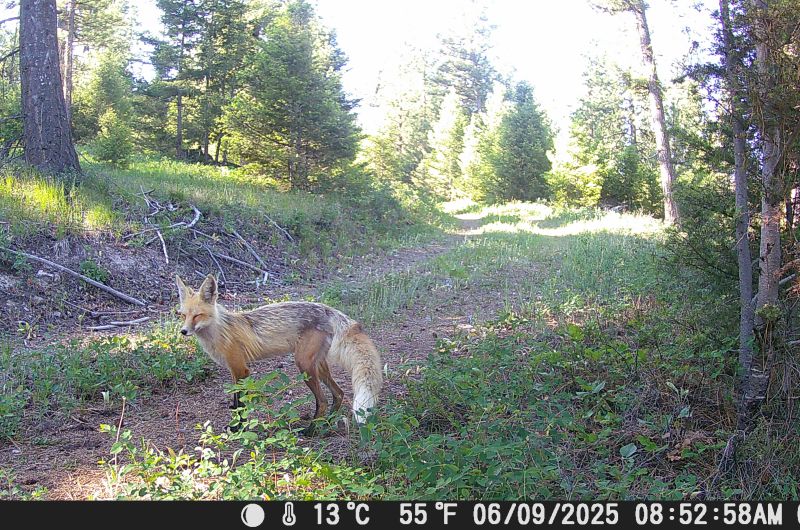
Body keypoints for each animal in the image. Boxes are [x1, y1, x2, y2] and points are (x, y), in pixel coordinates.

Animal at [175, 273, 382, 427]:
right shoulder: (234, 371)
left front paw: (238, 429)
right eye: (183, 316)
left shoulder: (241, 369)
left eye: (197, 316)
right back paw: (326, 423)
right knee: (338, 393)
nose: (183, 331)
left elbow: (240, 405)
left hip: (304, 365)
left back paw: (310, 431)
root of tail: (325, 308)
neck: (221, 331)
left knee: (322, 401)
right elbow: (235, 402)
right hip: (318, 366)